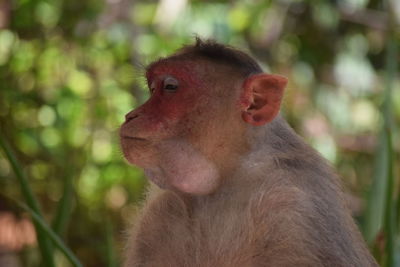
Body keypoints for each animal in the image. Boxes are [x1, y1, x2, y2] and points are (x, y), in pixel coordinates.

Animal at [119, 38, 378, 267]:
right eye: (152, 88)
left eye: (170, 87)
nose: (130, 115)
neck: (225, 181)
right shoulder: (158, 214)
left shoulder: (295, 212)